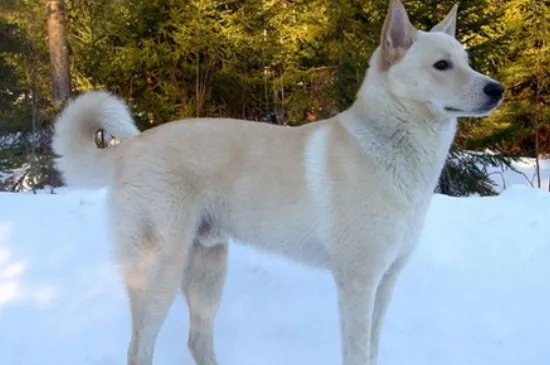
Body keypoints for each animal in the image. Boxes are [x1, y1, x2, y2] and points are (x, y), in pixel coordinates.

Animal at [51, 1, 504, 362]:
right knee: (139, 348)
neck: (390, 145)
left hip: (208, 273)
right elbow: (357, 352)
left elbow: (373, 349)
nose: (497, 89)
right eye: (441, 65)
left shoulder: (386, 282)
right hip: (159, 274)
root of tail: (132, 147)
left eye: (467, 60)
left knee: (197, 340)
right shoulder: (358, 281)